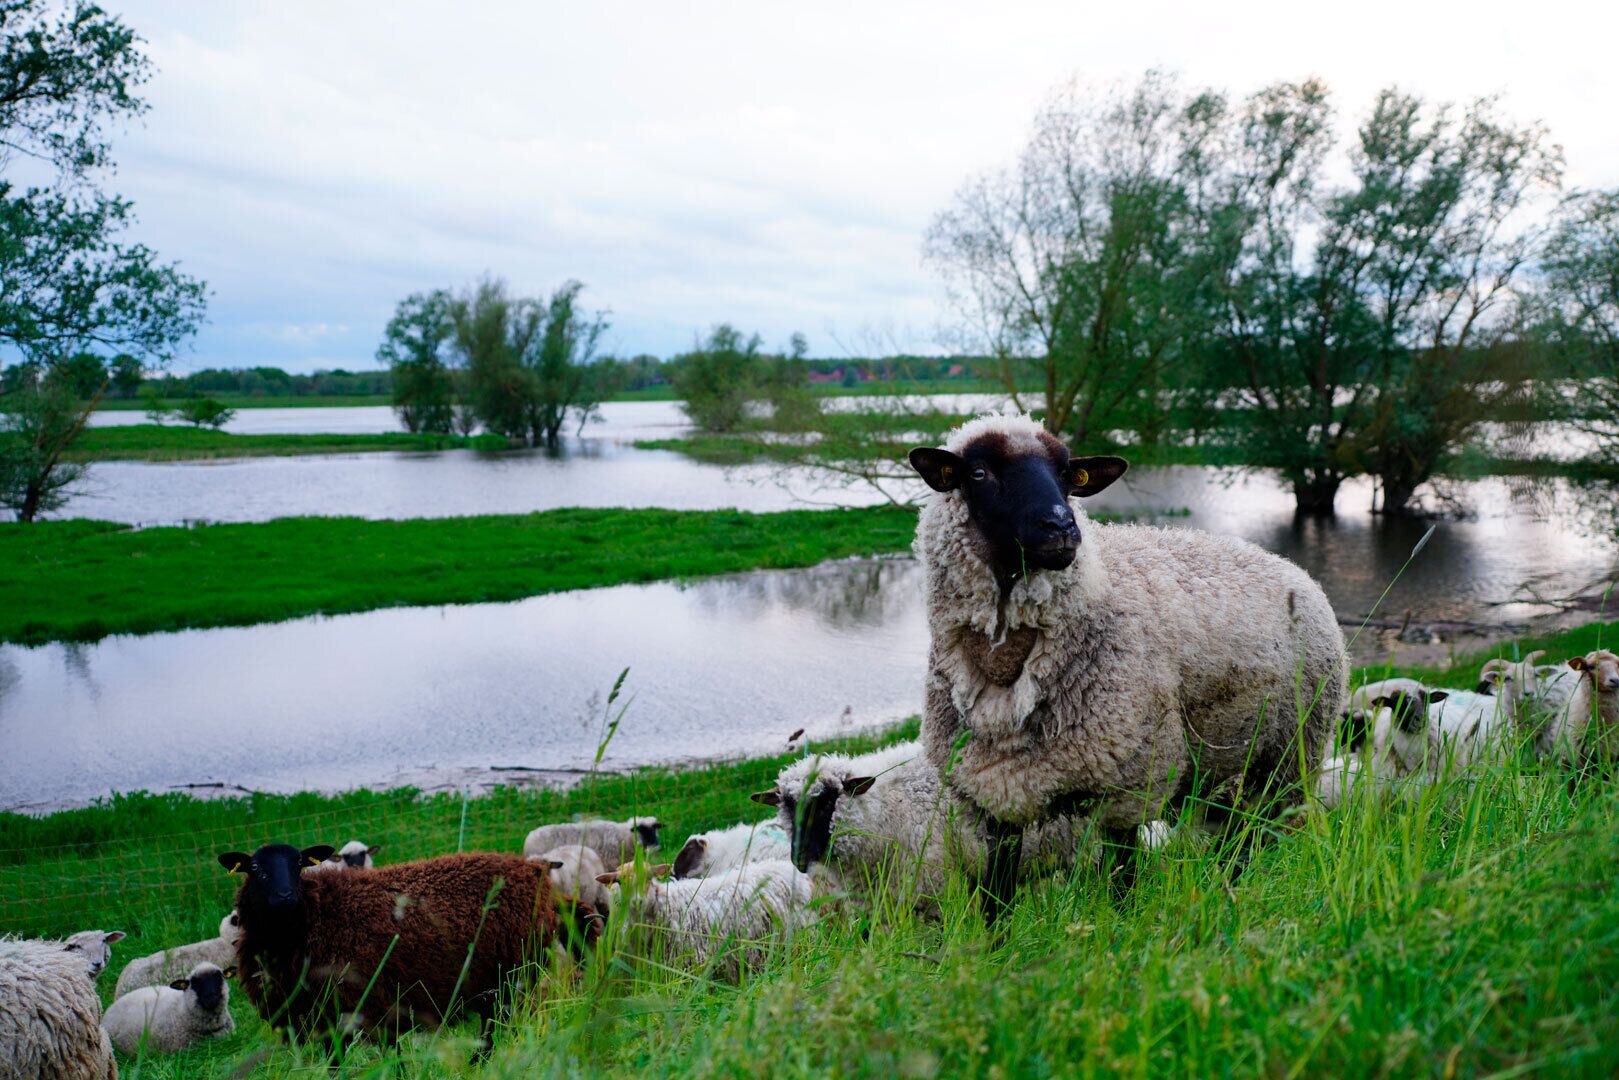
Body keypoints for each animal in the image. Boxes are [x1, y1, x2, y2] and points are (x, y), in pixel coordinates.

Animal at [218, 843, 600, 1043]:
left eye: (299, 863)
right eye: (254, 868)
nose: (284, 896)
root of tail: (536, 878)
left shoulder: (365, 1002)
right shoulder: (319, 1015)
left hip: (510, 975)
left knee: (496, 1031)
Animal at [908, 414, 1348, 919]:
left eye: (1068, 476)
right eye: (979, 473)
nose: (1061, 527)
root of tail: (1298, 571)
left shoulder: (1130, 781)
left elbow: (1123, 879)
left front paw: (1123, 924)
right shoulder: (992, 794)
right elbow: (996, 897)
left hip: (1290, 756)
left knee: (1261, 836)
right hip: (1224, 770)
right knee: (1232, 836)